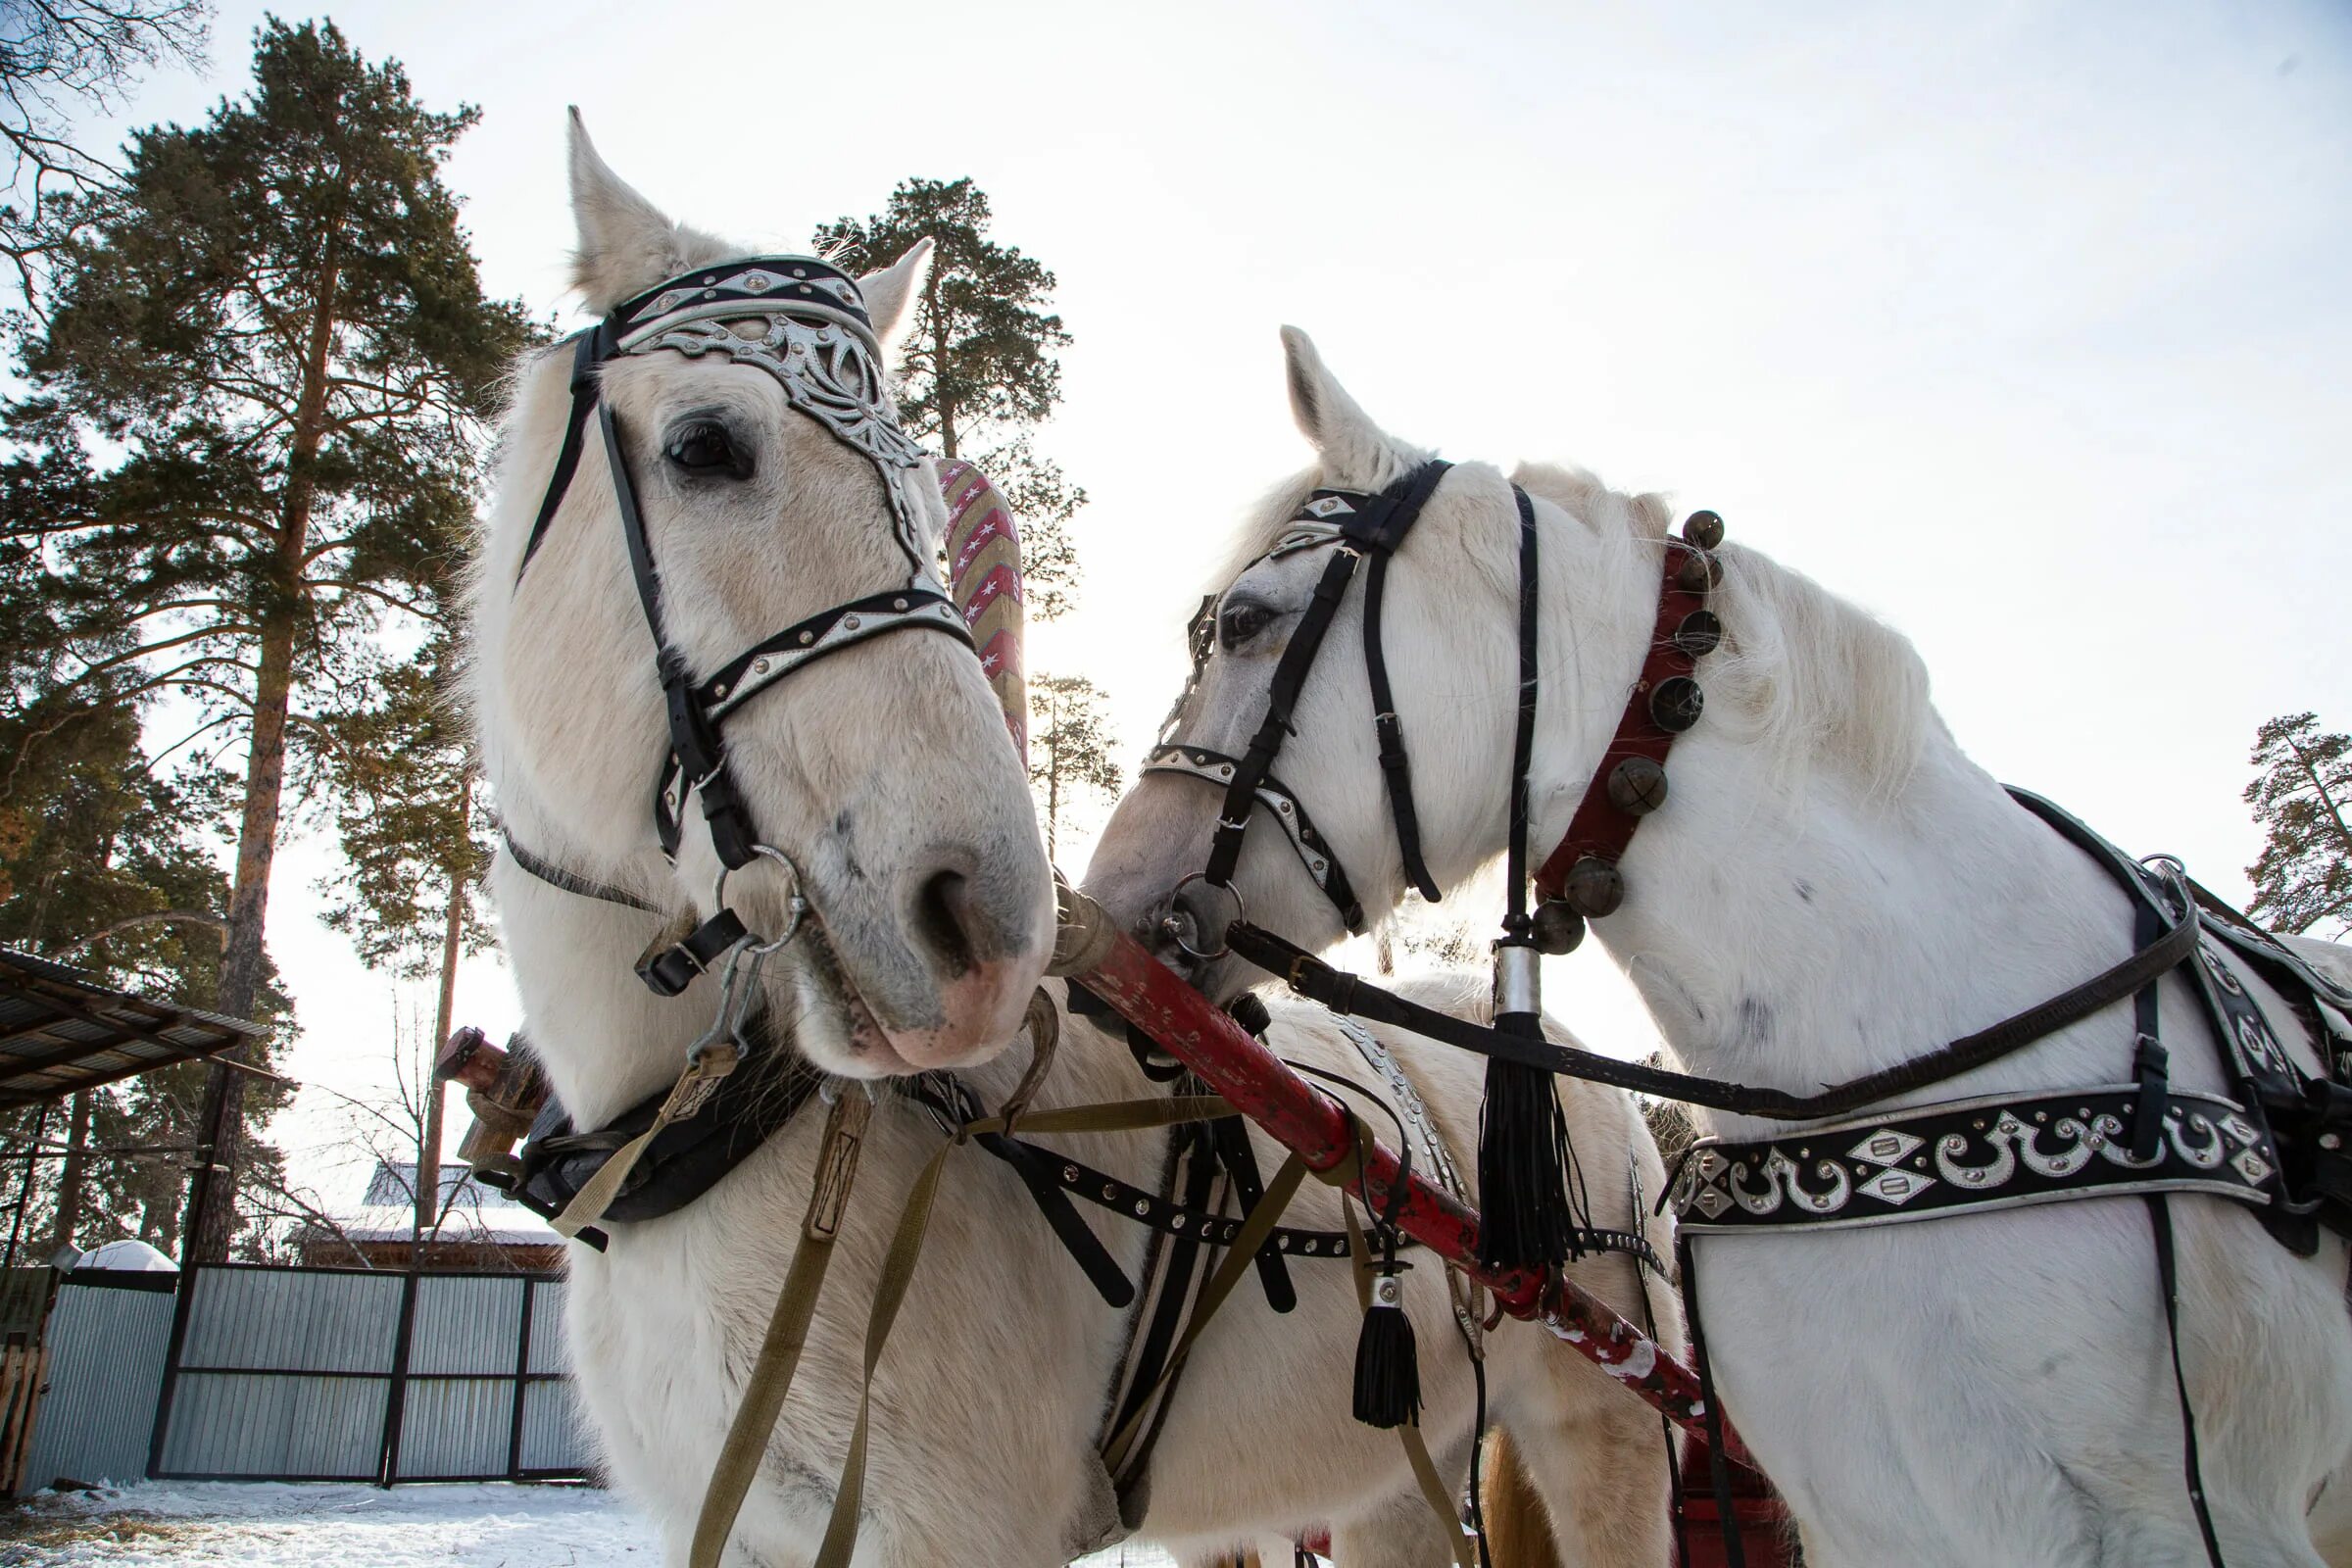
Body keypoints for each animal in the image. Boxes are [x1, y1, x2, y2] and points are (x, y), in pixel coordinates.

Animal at [467, 125, 1674, 1568]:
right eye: (707, 446)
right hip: (1399, 1469)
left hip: (1606, 1429)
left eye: (931, 508)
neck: (714, 1127)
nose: (984, 924)